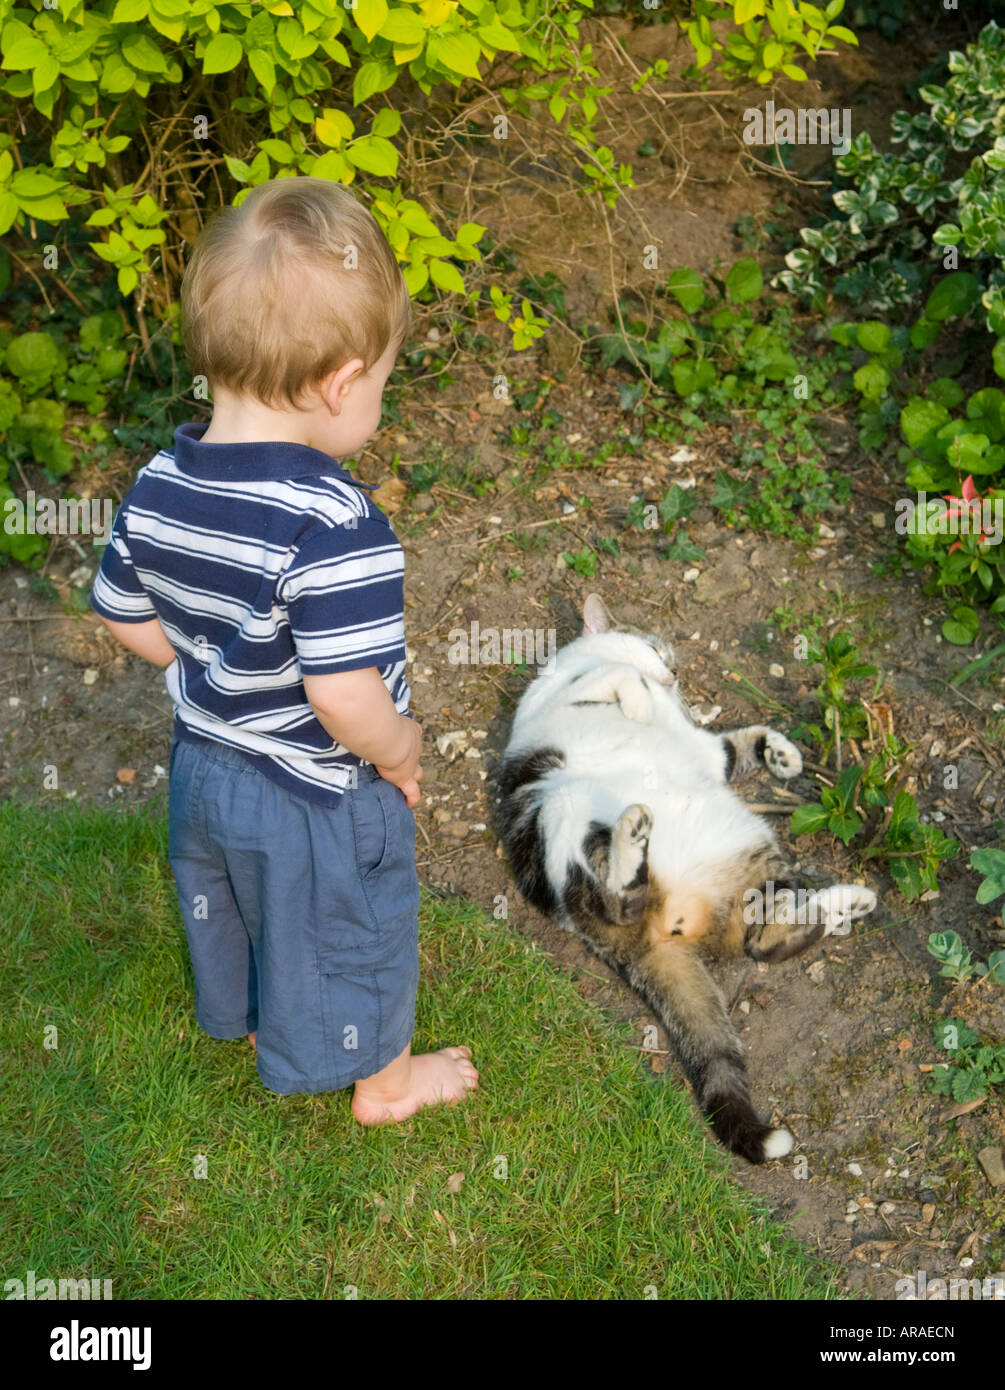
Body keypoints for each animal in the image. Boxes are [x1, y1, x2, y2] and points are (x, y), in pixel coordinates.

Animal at [500, 592, 878, 1167]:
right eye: (657, 647)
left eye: (671, 654)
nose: (674, 672)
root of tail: (654, 938)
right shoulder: (569, 693)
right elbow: (618, 674)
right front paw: (637, 699)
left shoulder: (710, 754)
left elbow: (741, 743)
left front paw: (784, 755)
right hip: (564, 820)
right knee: (617, 896)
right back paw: (633, 834)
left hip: (750, 842)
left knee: (764, 940)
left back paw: (849, 903)